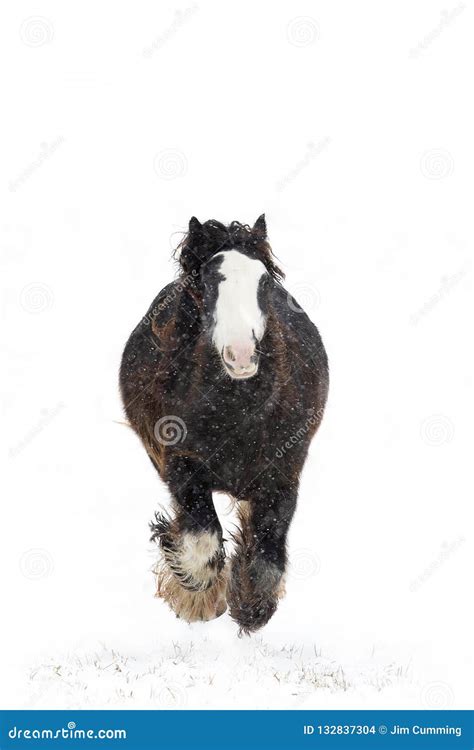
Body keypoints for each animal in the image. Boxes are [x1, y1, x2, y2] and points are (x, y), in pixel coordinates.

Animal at [118, 217, 328, 636]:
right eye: (208, 282)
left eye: (264, 282)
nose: (241, 355)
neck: (236, 415)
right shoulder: (181, 467)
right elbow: (204, 543)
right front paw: (197, 600)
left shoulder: (284, 474)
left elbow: (266, 557)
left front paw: (250, 607)